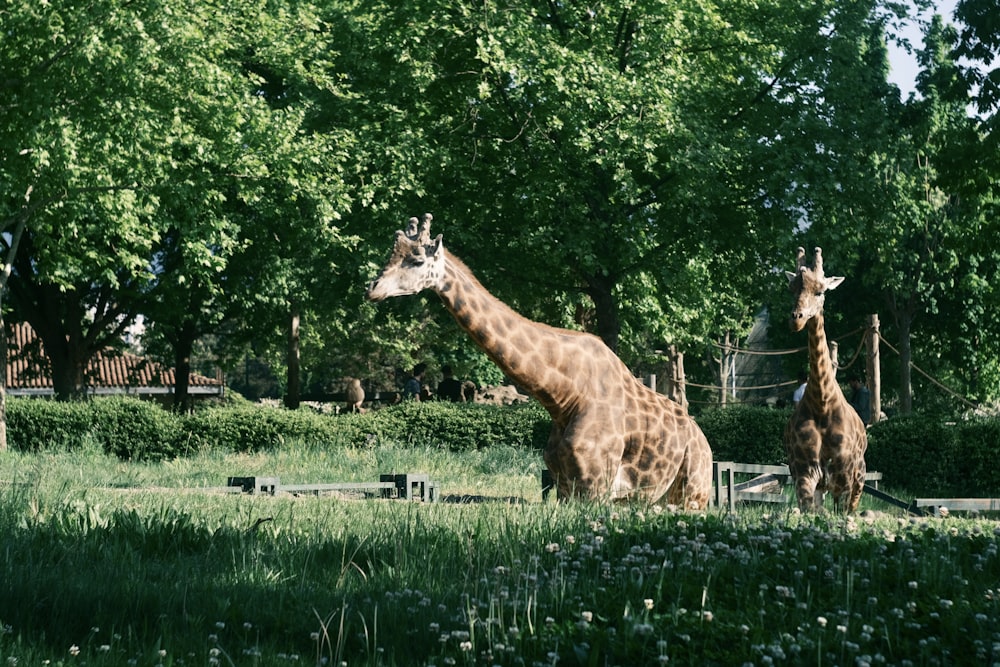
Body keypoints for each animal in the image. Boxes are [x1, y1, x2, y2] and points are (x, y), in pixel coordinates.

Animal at [366, 214, 712, 506]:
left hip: (692, 494)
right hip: (649, 499)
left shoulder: (595, 488)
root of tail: (703, 440)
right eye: (390, 256)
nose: (372, 288)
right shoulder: (565, 487)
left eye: (416, 259)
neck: (564, 397)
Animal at [780, 248, 868, 516]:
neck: (821, 403)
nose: (796, 319)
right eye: (792, 290)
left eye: (820, 291)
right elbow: (810, 513)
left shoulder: (843, 476)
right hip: (823, 485)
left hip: (859, 476)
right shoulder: (804, 472)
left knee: (852, 508)